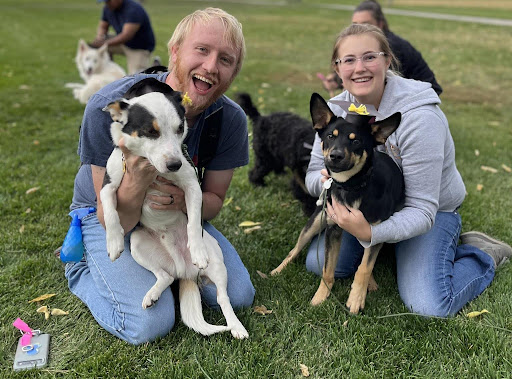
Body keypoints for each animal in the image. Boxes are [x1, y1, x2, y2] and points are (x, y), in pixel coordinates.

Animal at [100, 78, 248, 340]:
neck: (152, 168)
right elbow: (109, 209)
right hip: (138, 242)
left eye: (180, 128)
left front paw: (197, 250)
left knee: (224, 298)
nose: (174, 165)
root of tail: (184, 272)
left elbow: (193, 222)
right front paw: (114, 242)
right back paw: (152, 295)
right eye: (151, 131)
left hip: (218, 265)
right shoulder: (109, 183)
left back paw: (237, 327)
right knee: (165, 276)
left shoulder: (191, 186)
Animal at [272, 93, 404, 314]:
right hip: (315, 222)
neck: (351, 186)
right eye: (330, 136)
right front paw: (320, 297)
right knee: (294, 250)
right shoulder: (332, 230)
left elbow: (364, 268)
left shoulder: (375, 231)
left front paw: (356, 299)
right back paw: (277, 270)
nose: (335, 156)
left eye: (356, 141)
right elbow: (327, 270)